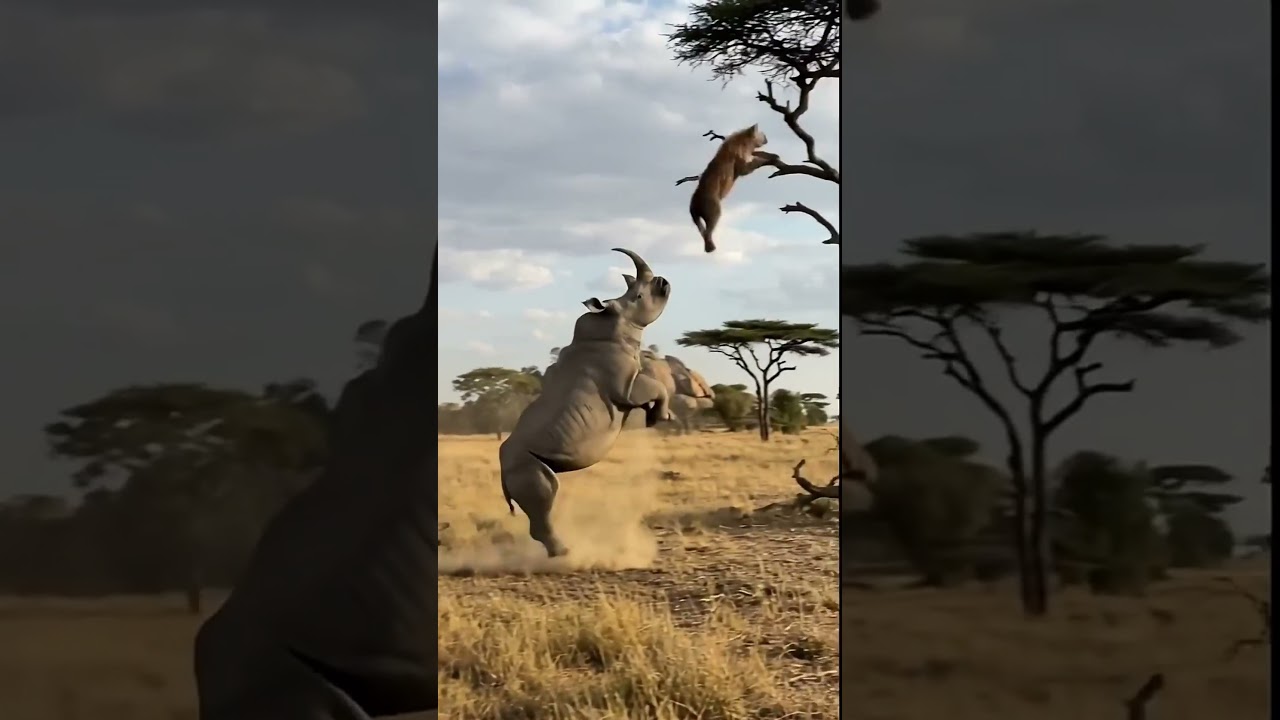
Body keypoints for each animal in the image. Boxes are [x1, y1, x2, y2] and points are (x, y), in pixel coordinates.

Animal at [500, 248, 672, 557]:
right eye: (639, 296)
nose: (664, 282)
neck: (616, 323)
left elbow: (653, 390)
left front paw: (655, 418)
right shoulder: (625, 386)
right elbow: (655, 386)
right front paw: (659, 418)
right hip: (523, 463)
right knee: (546, 493)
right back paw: (565, 554)